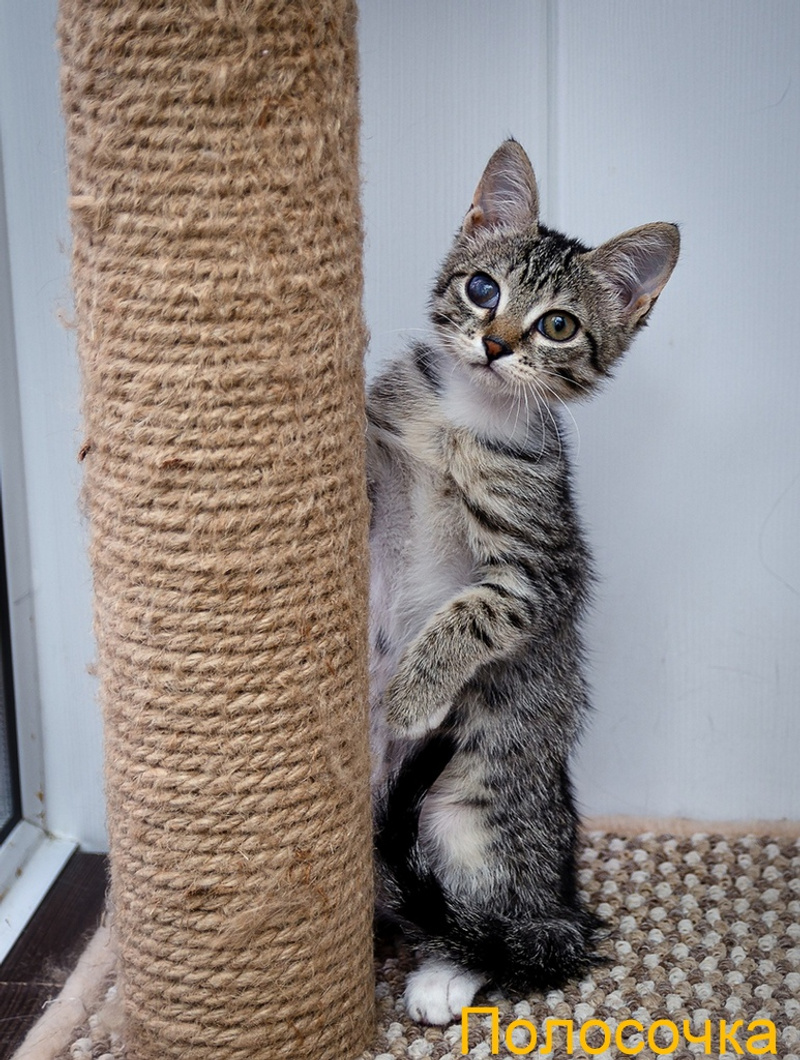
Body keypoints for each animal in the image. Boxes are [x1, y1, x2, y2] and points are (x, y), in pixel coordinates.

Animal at [367, 139, 679, 1025]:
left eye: (558, 326)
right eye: (483, 289)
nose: (498, 344)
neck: (462, 417)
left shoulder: (540, 572)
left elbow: (474, 612)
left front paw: (412, 693)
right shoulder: (390, 463)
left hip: (474, 809)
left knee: (498, 923)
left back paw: (446, 972)